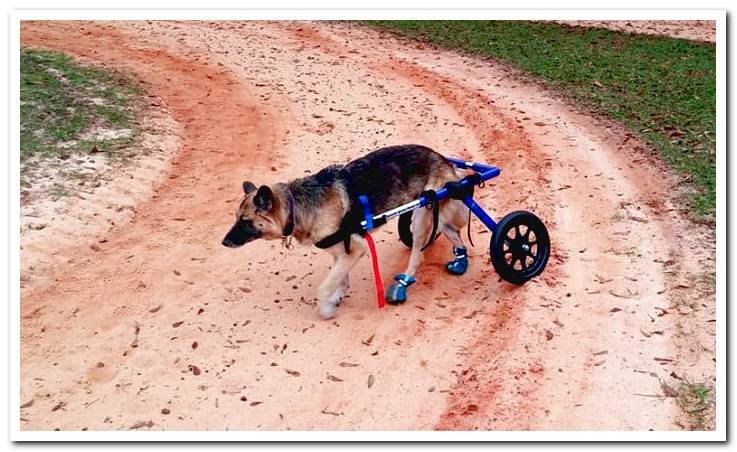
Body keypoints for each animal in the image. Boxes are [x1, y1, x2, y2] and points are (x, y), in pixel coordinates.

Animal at [221, 145, 468, 318]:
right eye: (235, 217)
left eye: (245, 221)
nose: (223, 243)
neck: (295, 205)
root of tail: (445, 160)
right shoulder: (340, 251)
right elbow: (340, 278)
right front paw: (338, 295)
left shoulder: (355, 249)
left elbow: (324, 286)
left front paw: (326, 308)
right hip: (434, 215)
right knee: (454, 233)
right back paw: (460, 260)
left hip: (421, 213)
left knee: (419, 256)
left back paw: (403, 283)